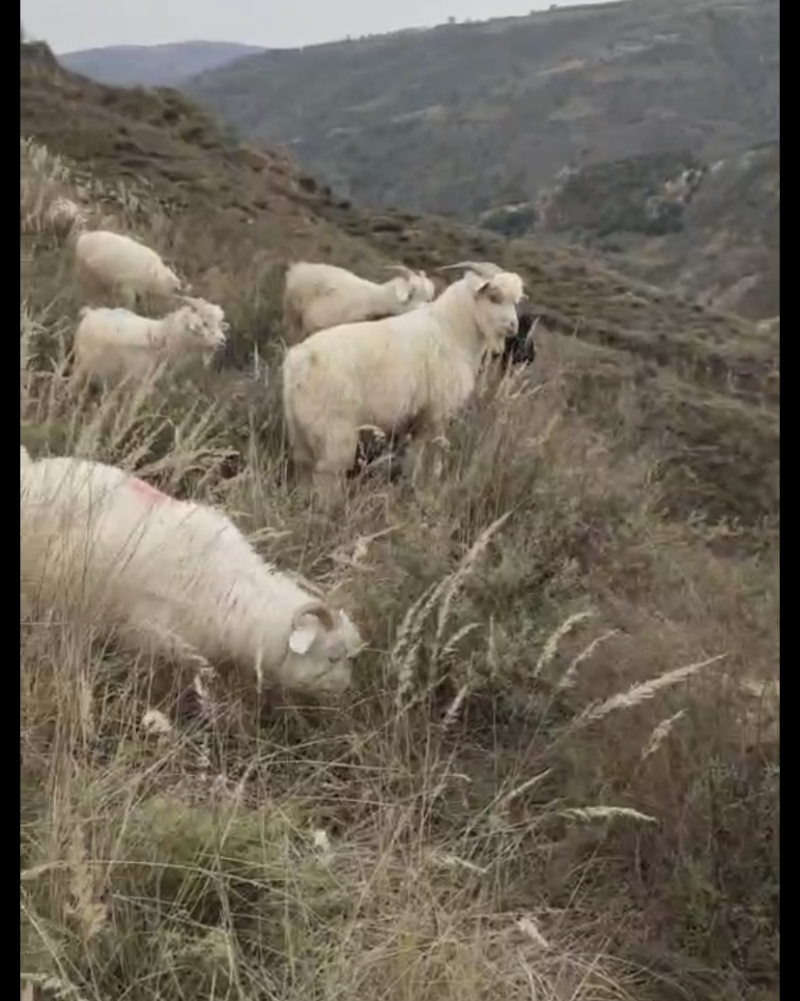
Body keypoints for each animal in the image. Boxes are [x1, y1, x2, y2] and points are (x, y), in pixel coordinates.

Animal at [282, 258, 434, 344]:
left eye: (428, 296)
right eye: (411, 293)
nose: (427, 307)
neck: (377, 299)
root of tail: (298, 267)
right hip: (293, 314)